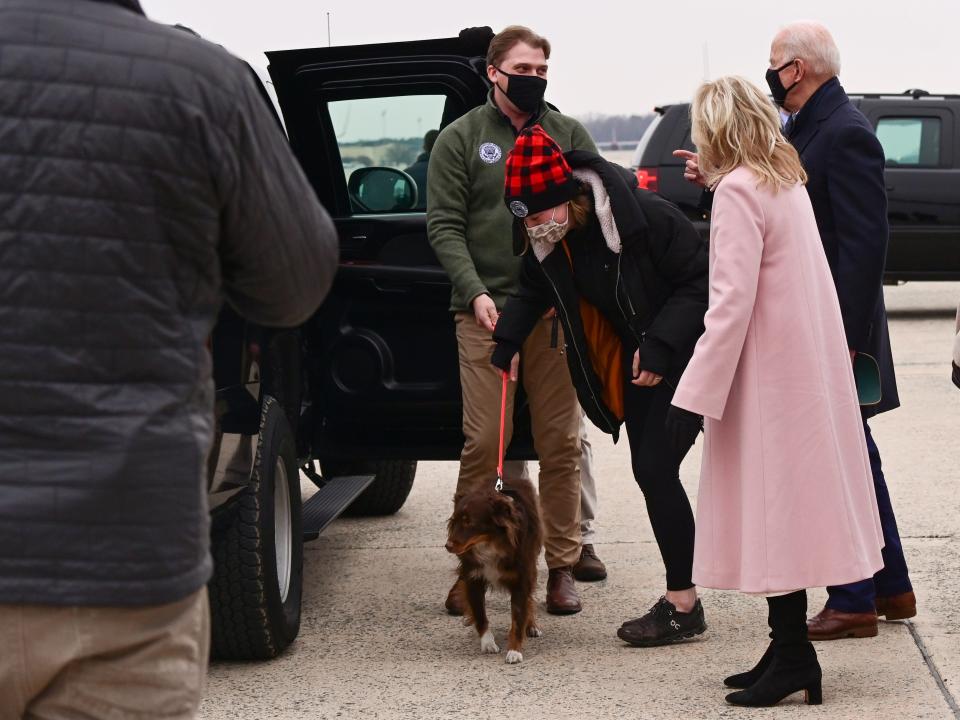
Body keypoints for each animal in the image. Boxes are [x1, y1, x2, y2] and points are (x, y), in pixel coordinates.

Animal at [446, 478, 544, 664]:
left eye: (469, 522)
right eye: (454, 521)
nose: (447, 546)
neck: (491, 542)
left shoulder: (521, 578)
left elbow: (518, 616)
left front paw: (514, 651)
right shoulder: (473, 578)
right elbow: (480, 613)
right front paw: (487, 643)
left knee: (530, 598)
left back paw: (532, 626)